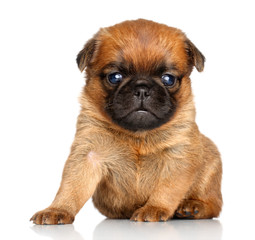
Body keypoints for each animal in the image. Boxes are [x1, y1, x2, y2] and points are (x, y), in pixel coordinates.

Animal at [29, 19, 222, 224]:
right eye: (115, 77)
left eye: (168, 79)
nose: (142, 89)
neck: (138, 135)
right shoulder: (88, 155)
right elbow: (71, 186)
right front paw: (58, 209)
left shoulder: (178, 156)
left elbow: (167, 189)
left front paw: (154, 208)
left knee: (214, 204)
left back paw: (193, 207)